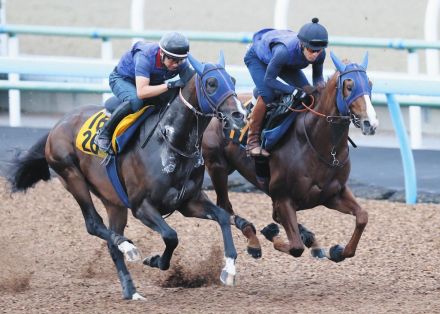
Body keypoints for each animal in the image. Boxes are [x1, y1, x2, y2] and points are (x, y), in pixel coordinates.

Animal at [6, 52, 249, 300]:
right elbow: (171, 235)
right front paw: (155, 260)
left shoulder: (189, 202)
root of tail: (56, 126)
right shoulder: (141, 206)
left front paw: (229, 269)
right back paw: (129, 248)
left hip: (113, 202)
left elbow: (222, 216)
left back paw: (131, 290)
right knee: (93, 224)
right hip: (72, 176)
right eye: (211, 83)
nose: (240, 115)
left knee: (111, 239)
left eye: (233, 80)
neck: (170, 141)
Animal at [203, 51, 378, 262]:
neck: (320, 145)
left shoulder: (333, 194)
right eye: (349, 86)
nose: (371, 123)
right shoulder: (283, 197)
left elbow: (362, 217)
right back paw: (255, 241)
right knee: (225, 206)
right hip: (217, 166)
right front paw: (273, 235)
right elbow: (295, 247)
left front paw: (337, 251)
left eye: (370, 84)